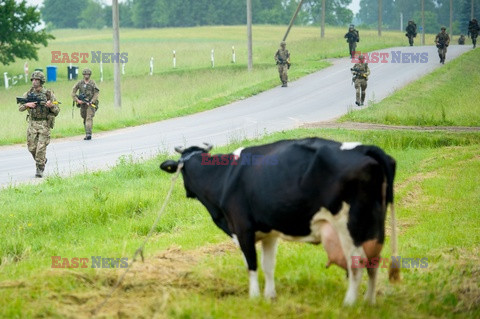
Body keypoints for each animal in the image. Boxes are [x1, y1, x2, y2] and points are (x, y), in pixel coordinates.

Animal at [161, 137, 398, 304]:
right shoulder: (269, 233)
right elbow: (268, 265)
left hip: (349, 226)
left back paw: (349, 304)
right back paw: (369, 302)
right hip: (373, 225)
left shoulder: (242, 228)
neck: (224, 176)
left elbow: (252, 264)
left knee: (357, 263)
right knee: (373, 261)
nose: (187, 192)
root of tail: (364, 148)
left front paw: (254, 297)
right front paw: (270, 296)